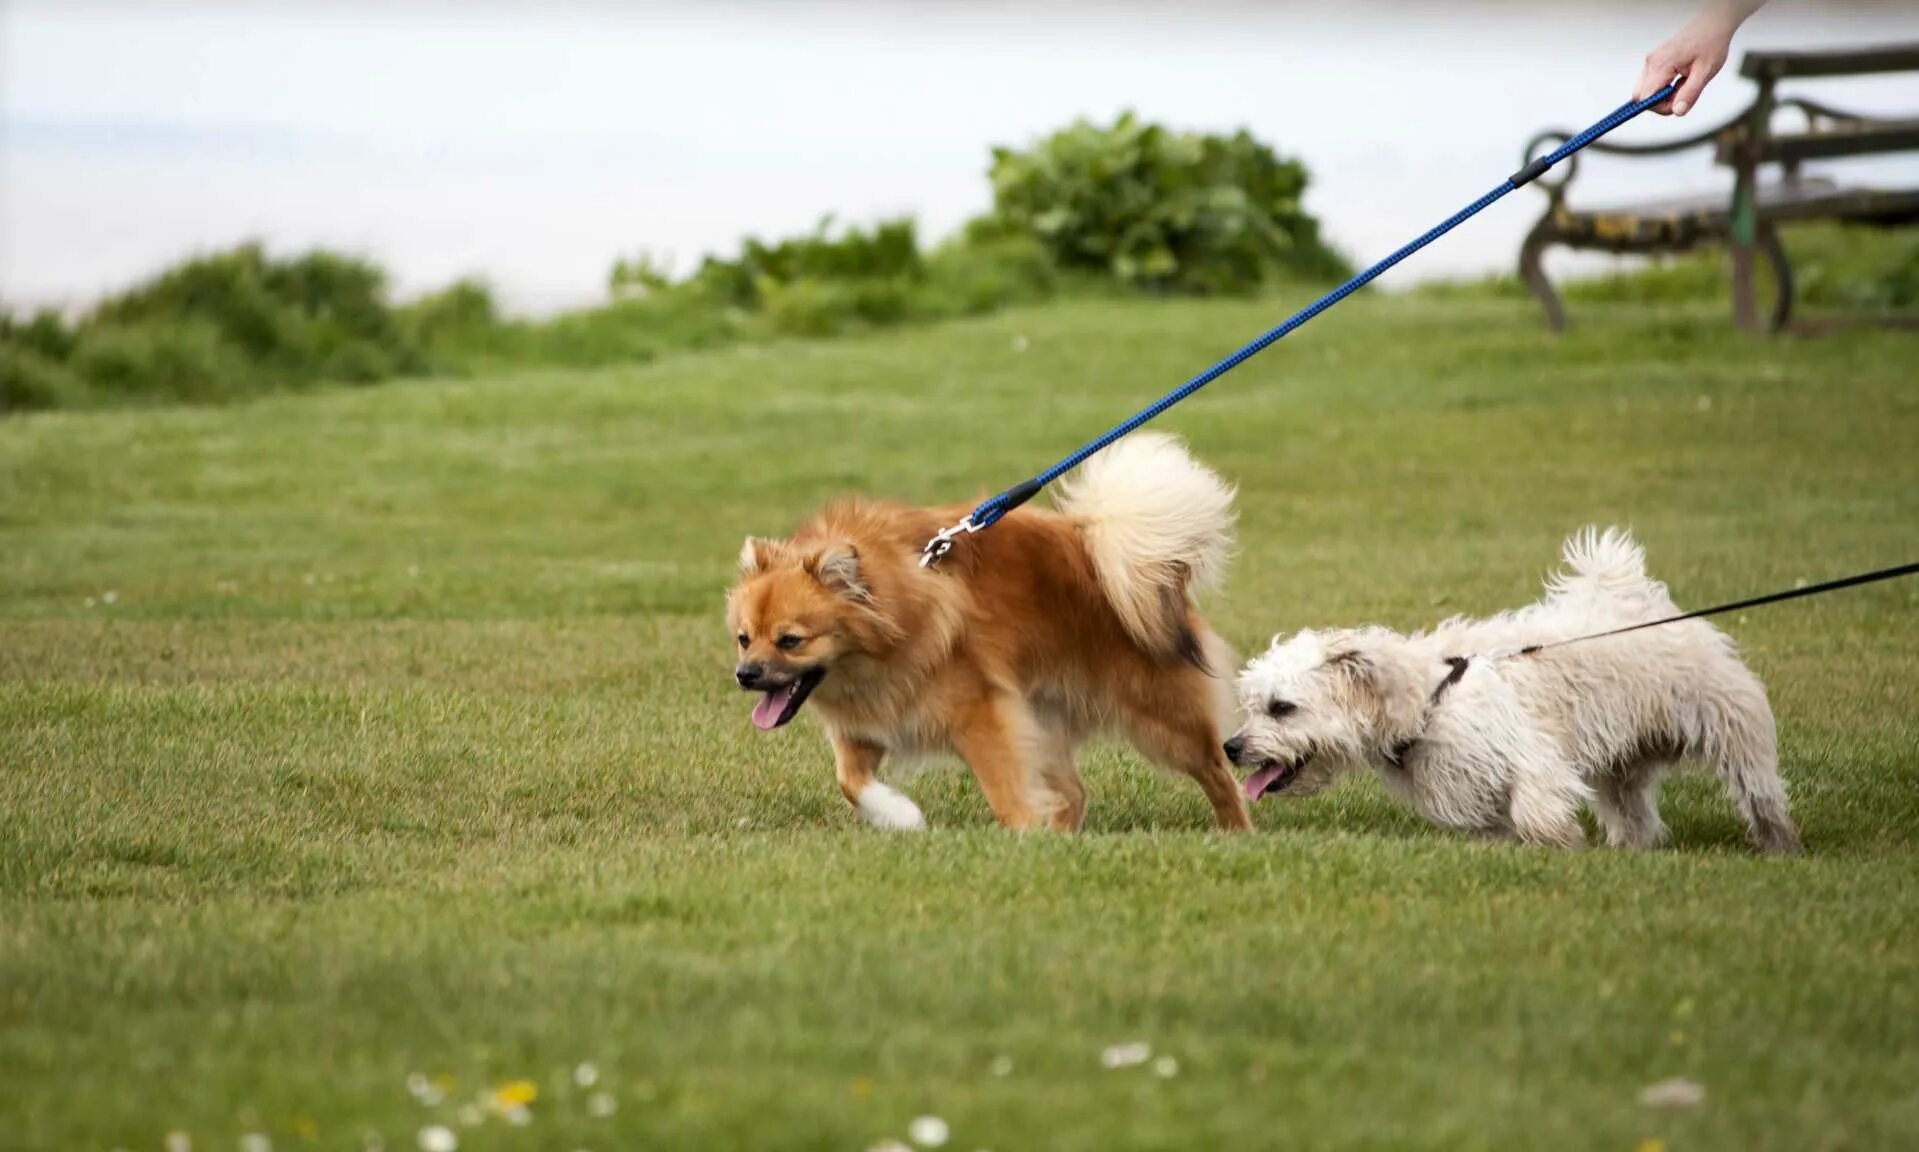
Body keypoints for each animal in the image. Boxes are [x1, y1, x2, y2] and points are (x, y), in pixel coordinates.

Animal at [721, 435, 1243, 833]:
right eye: (744, 639)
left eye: (790, 641)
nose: (746, 675)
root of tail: (1111, 548)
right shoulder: (870, 724)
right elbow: (850, 782)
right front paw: (901, 816)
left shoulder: (982, 715)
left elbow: (1005, 790)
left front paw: (1021, 834)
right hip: (1042, 716)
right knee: (1073, 792)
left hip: (1162, 720)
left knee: (1219, 773)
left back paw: (1235, 832)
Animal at [1228, 529, 1796, 856]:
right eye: (1251, 706)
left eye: (1282, 708)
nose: (1231, 747)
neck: (1430, 698)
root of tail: (1646, 603)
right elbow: (1495, 822)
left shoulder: (1531, 755)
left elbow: (1533, 807)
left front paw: (1560, 843)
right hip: (1622, 770)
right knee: (1635, 813)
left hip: (1732, 727)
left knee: (1761, 794)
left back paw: (1780, 847)